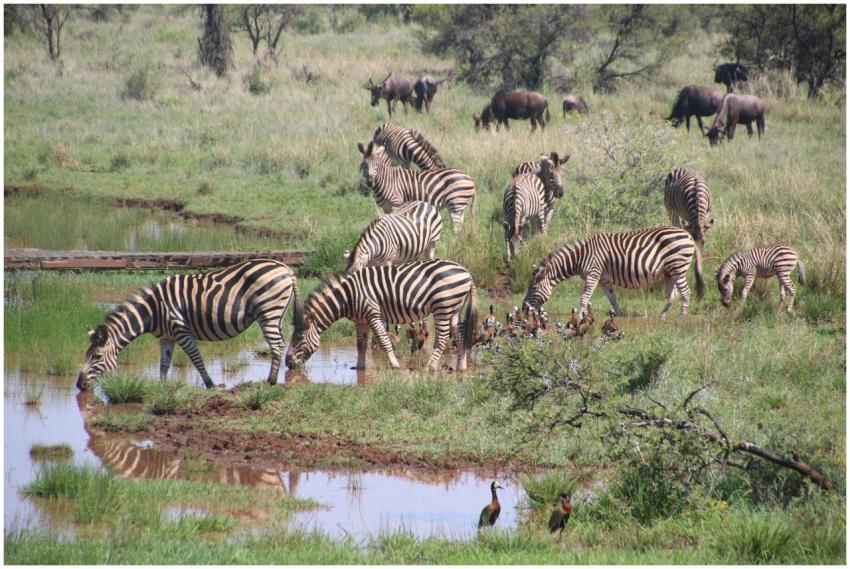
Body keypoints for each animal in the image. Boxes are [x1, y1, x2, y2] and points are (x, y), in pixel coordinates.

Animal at [76, 259, 303, 390]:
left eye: (97, 357)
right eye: (86, 355)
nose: (79, 385)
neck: (153, 311)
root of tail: (285, 267)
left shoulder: (181, 330)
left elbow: (196, 359)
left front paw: (210, 384)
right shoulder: (166, 337)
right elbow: (164, 363)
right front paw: (162, 387)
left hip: (268, 310)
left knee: (277, 346)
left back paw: (270, 382)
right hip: (277, 313)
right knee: (280, 343)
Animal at [285, 259, 478, 372]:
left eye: (298, 338)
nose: (287, 364)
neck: (348, 297)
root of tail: (467, 272)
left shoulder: (373, 315)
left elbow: (385, 342)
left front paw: (395, 364)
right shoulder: (360, 320)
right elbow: (361, 345)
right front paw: (360, 367)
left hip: (443, 307)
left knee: (443, 338)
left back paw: (429, 367)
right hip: (453, 310)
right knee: (460, 336)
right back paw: (461, 367)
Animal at [523, 226, 705, 318]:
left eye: (533, 288)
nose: (524, 309)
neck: (581, 257)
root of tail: (688, 235)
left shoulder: (593, 274)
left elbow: (584, 298)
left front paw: (579, 317)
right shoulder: (604, 280)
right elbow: (613, 299)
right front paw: (619, 316)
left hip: (678, 267)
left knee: (686, 293)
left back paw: (682, 317)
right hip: (669, 272)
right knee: (672, 296)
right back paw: (663, 315)